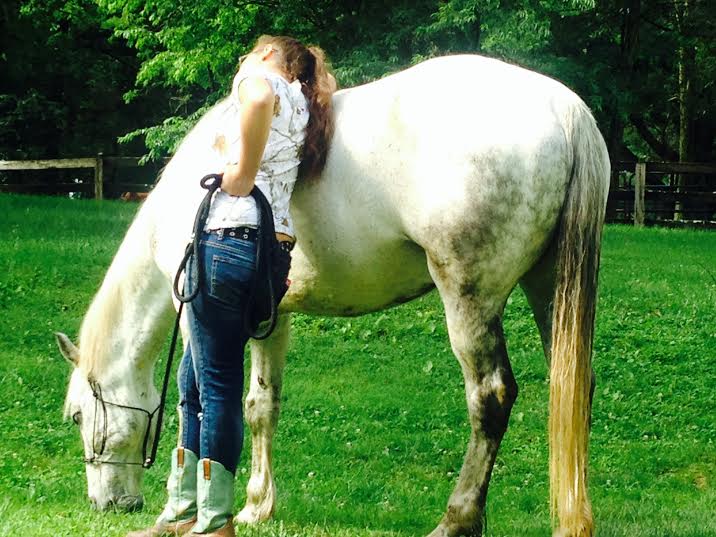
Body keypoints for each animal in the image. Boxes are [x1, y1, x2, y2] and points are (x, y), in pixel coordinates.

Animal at [56, 54, 608, 536]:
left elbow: (199, 407)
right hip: (549, 290)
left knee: (490, 397)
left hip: (469, 299)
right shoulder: (270, 317)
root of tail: (564, 110)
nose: (108, 504)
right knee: (573, 387)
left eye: (79, 415)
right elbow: (260, 405)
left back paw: (457, 519)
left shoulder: (200, 318)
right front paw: (257, 506)